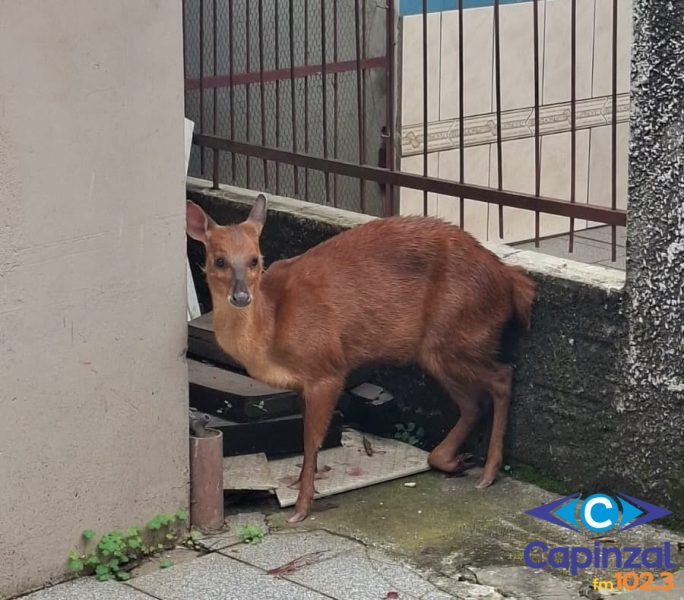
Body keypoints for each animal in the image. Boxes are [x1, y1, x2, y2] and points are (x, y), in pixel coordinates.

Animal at [186, 194, 536, 523]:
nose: (241, 296)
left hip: (458, 331)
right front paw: (299, 485)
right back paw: (454, 461)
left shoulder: (327, 367)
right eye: (219, 260)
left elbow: (311, 440)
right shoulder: (300, 383)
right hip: (438, 348)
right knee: (473, 402)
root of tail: (510, 279)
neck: (272, 328)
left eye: (255, 259)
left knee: (502, 377)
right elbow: (305, 438)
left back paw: (488, 473)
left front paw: (301, 506)